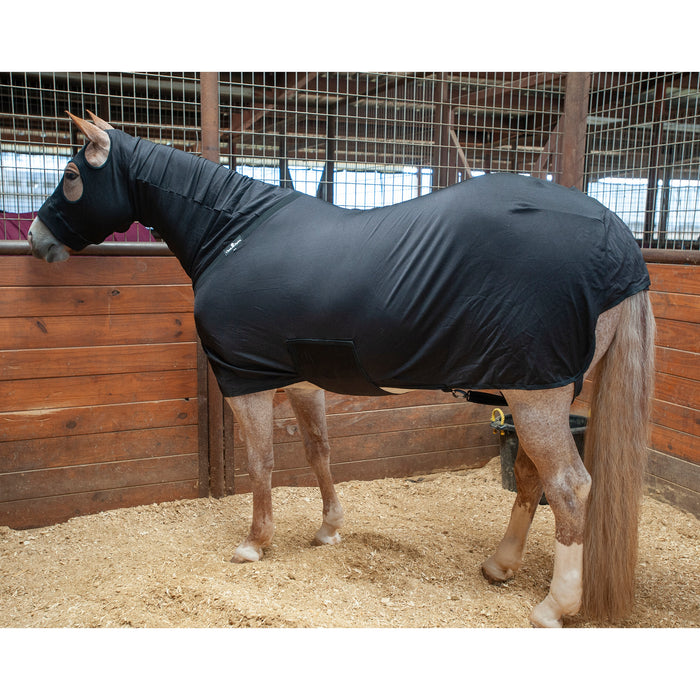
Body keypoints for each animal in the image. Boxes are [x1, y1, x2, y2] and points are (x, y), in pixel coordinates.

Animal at [27, 112, 655, 627]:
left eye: (71, 174)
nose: (35, 238)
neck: (233, 233)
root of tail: (616, 239)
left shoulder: (245, 382)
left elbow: (260, 462)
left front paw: (255, 543)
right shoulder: (304, 381)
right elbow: (318, 452)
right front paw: (328, 529)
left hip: (535, 395)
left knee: (569, 486)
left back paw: (554, 607)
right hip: (537, 391)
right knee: (530, 477)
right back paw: (500, 566)